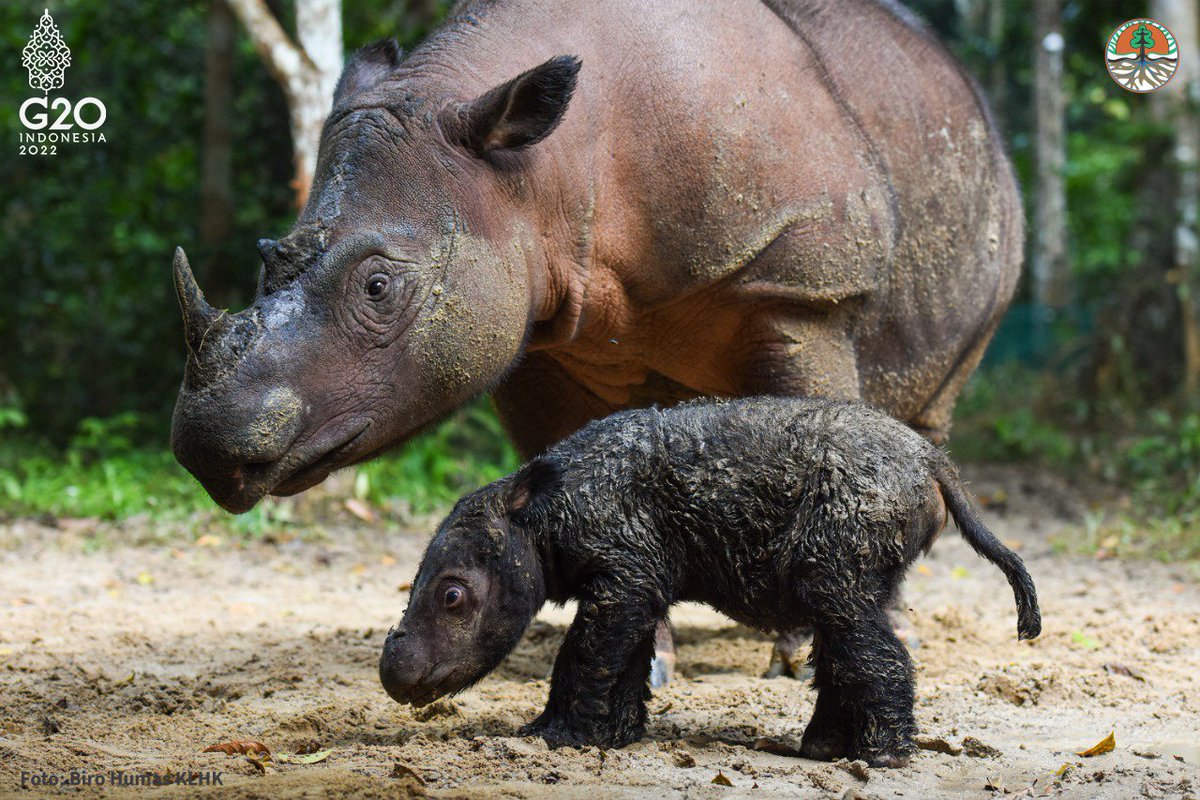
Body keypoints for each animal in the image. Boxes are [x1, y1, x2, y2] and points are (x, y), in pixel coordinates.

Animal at [171, 0, 1021, 671]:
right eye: (265, 256)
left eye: (378, 287)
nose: (208, 445)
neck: (537, 174)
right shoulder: (530, 329)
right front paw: (643, 654)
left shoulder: (800, 289)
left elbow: (823, 427)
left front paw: (804, 656)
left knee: (922, 415)